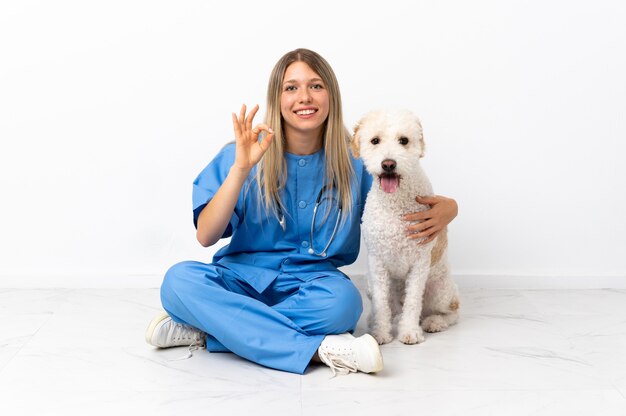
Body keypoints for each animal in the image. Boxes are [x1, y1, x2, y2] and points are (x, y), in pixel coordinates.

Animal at [352, 109, 458, 344]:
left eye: (404, 141)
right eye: (375, 141)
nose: (388, 164)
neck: (395, 203)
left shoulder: (419, 263)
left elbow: (413, 301)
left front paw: (409, 332)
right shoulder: (377, 263)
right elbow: (381, 304)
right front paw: (380, 333)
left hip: (441, 290)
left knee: (451, 312)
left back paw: (434, 322)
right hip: (371, 284)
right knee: (391, 308)